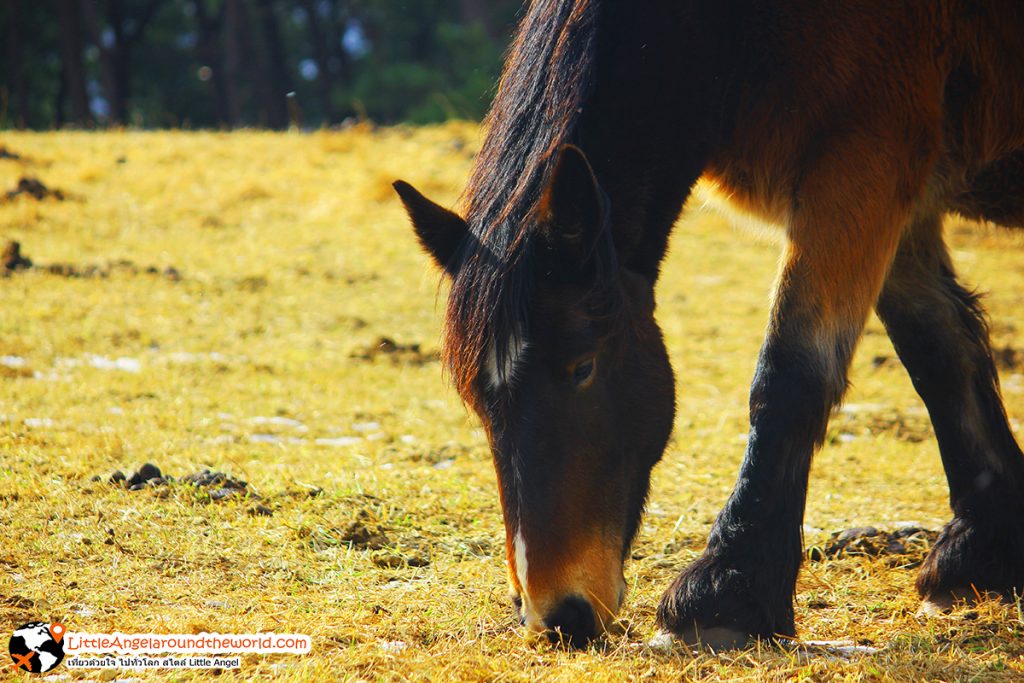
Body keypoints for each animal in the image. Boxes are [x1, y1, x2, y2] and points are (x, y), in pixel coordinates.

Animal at [393, 0, 1024, 651]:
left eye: (582, 366)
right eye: (476, 398)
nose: (555, 616)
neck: (730, 30)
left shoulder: (861, 167)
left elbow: (790, 375)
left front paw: (725, 591)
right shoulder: (904, 194)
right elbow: (939, 351)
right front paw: (980, 550)